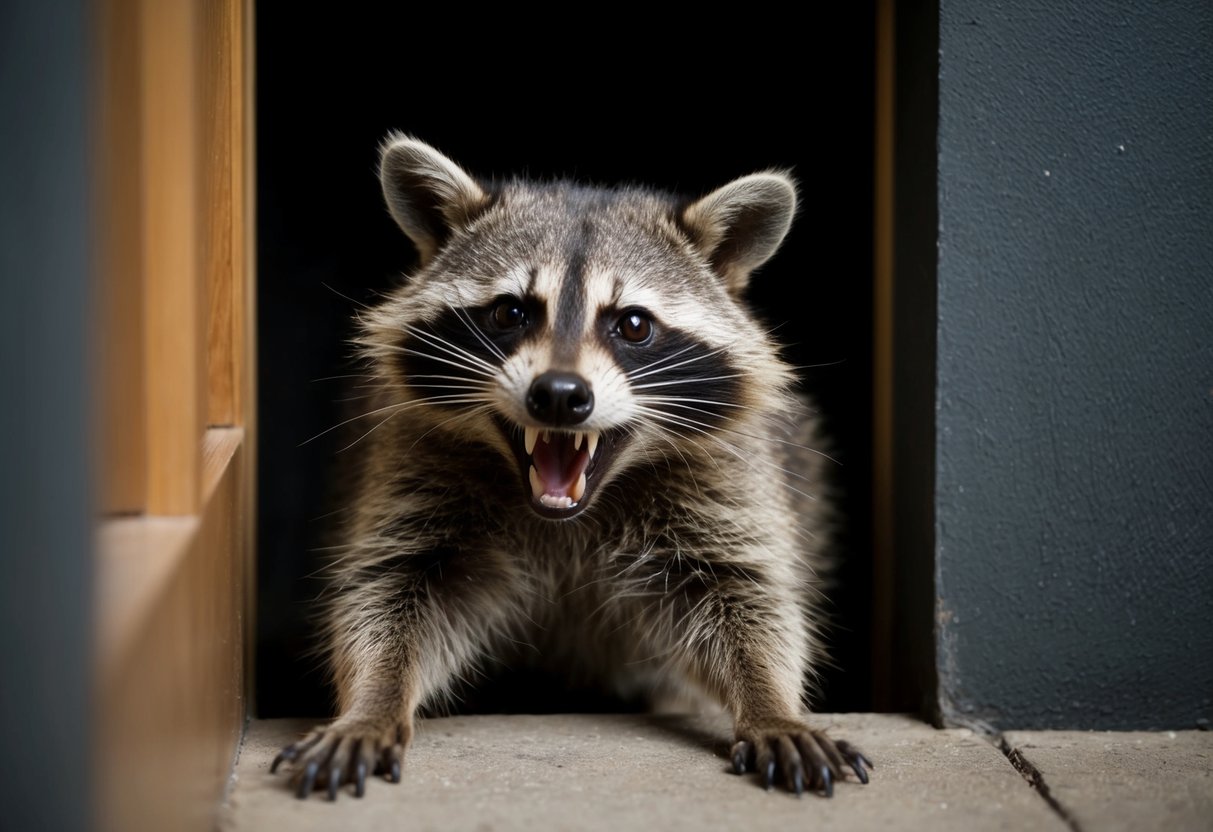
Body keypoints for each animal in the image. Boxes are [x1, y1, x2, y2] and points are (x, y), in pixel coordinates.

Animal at [272, 135, 872, 800]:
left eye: (633, 324)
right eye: (510, 313)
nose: (559, 395)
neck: (568, 513)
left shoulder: (729, 476)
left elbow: (745, 597)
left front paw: (770, 703)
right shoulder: (409, 457)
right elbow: (388, 591)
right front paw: (372, 703)